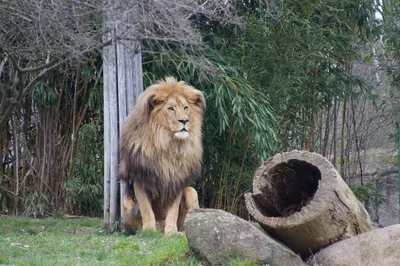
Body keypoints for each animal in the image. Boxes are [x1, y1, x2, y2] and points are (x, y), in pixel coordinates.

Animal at [119, 76, 206, 235]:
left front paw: (171, 232)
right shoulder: (140, 177)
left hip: (191, 192)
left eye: (185, 108)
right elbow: (146, 208)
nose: (184, 120)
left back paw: (181, 232)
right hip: (127, 201)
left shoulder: (176, 179)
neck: (166, 143)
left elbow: (173, 210)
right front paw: (149, 231)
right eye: (171, 108)